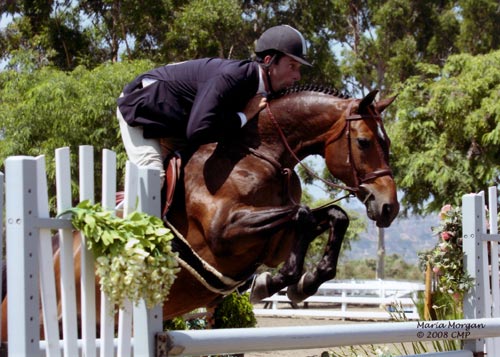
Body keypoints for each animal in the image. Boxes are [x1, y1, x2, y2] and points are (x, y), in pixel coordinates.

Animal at [0, 85, 398, 338]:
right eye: (364, 142)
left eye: (388, 142)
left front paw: (301, 284)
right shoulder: (224, 233)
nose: (389, 207)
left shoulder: (275, 242)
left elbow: (331, 217)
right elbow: (300, 214)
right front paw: (272, 284)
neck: (260, 155)